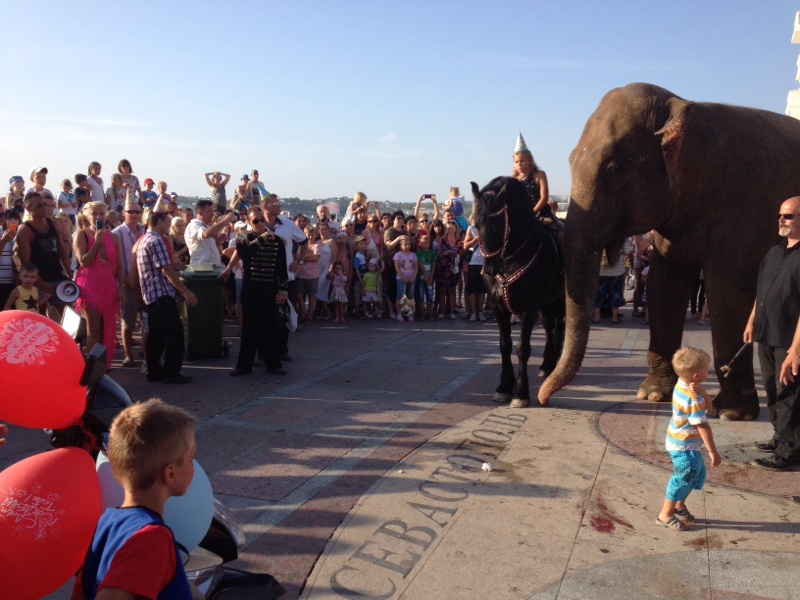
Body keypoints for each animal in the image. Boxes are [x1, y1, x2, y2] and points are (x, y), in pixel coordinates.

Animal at [472, 173, 564, 408]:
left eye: (496, 224)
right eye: (476, 223)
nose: (488, 268)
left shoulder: (528, 306)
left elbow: (523, 348)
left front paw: (521, 393)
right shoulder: (497, 306)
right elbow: (504, 345)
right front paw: (504, 387)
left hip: (560, 296)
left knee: (559, 326)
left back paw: (556, 365)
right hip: (546, 300)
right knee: (549, 325)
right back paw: (547, 363)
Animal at [536, 82, 800, 420]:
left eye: (614, 168)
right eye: (569, 161)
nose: (543, 398)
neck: (683, 104)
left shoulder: (744, 207)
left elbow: (727, 292)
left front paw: (731, 413)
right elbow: (663, 285)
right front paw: (652, 395)